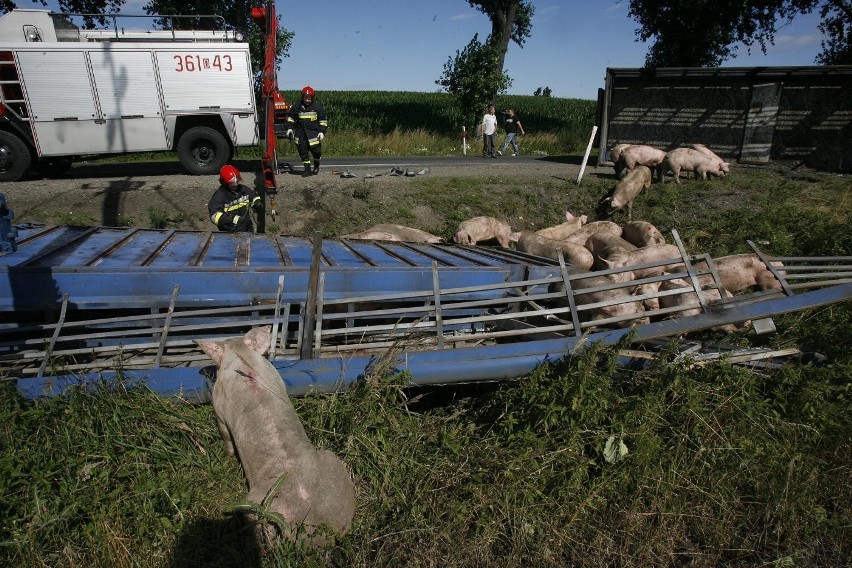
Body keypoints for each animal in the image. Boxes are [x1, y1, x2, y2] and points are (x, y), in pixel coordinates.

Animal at [196, 326, 356, 544]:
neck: (240, 355)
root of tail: (321, 527)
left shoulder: (219, 406)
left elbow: (226, 435)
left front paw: (228, 456)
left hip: (257, 507)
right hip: (333, 462)